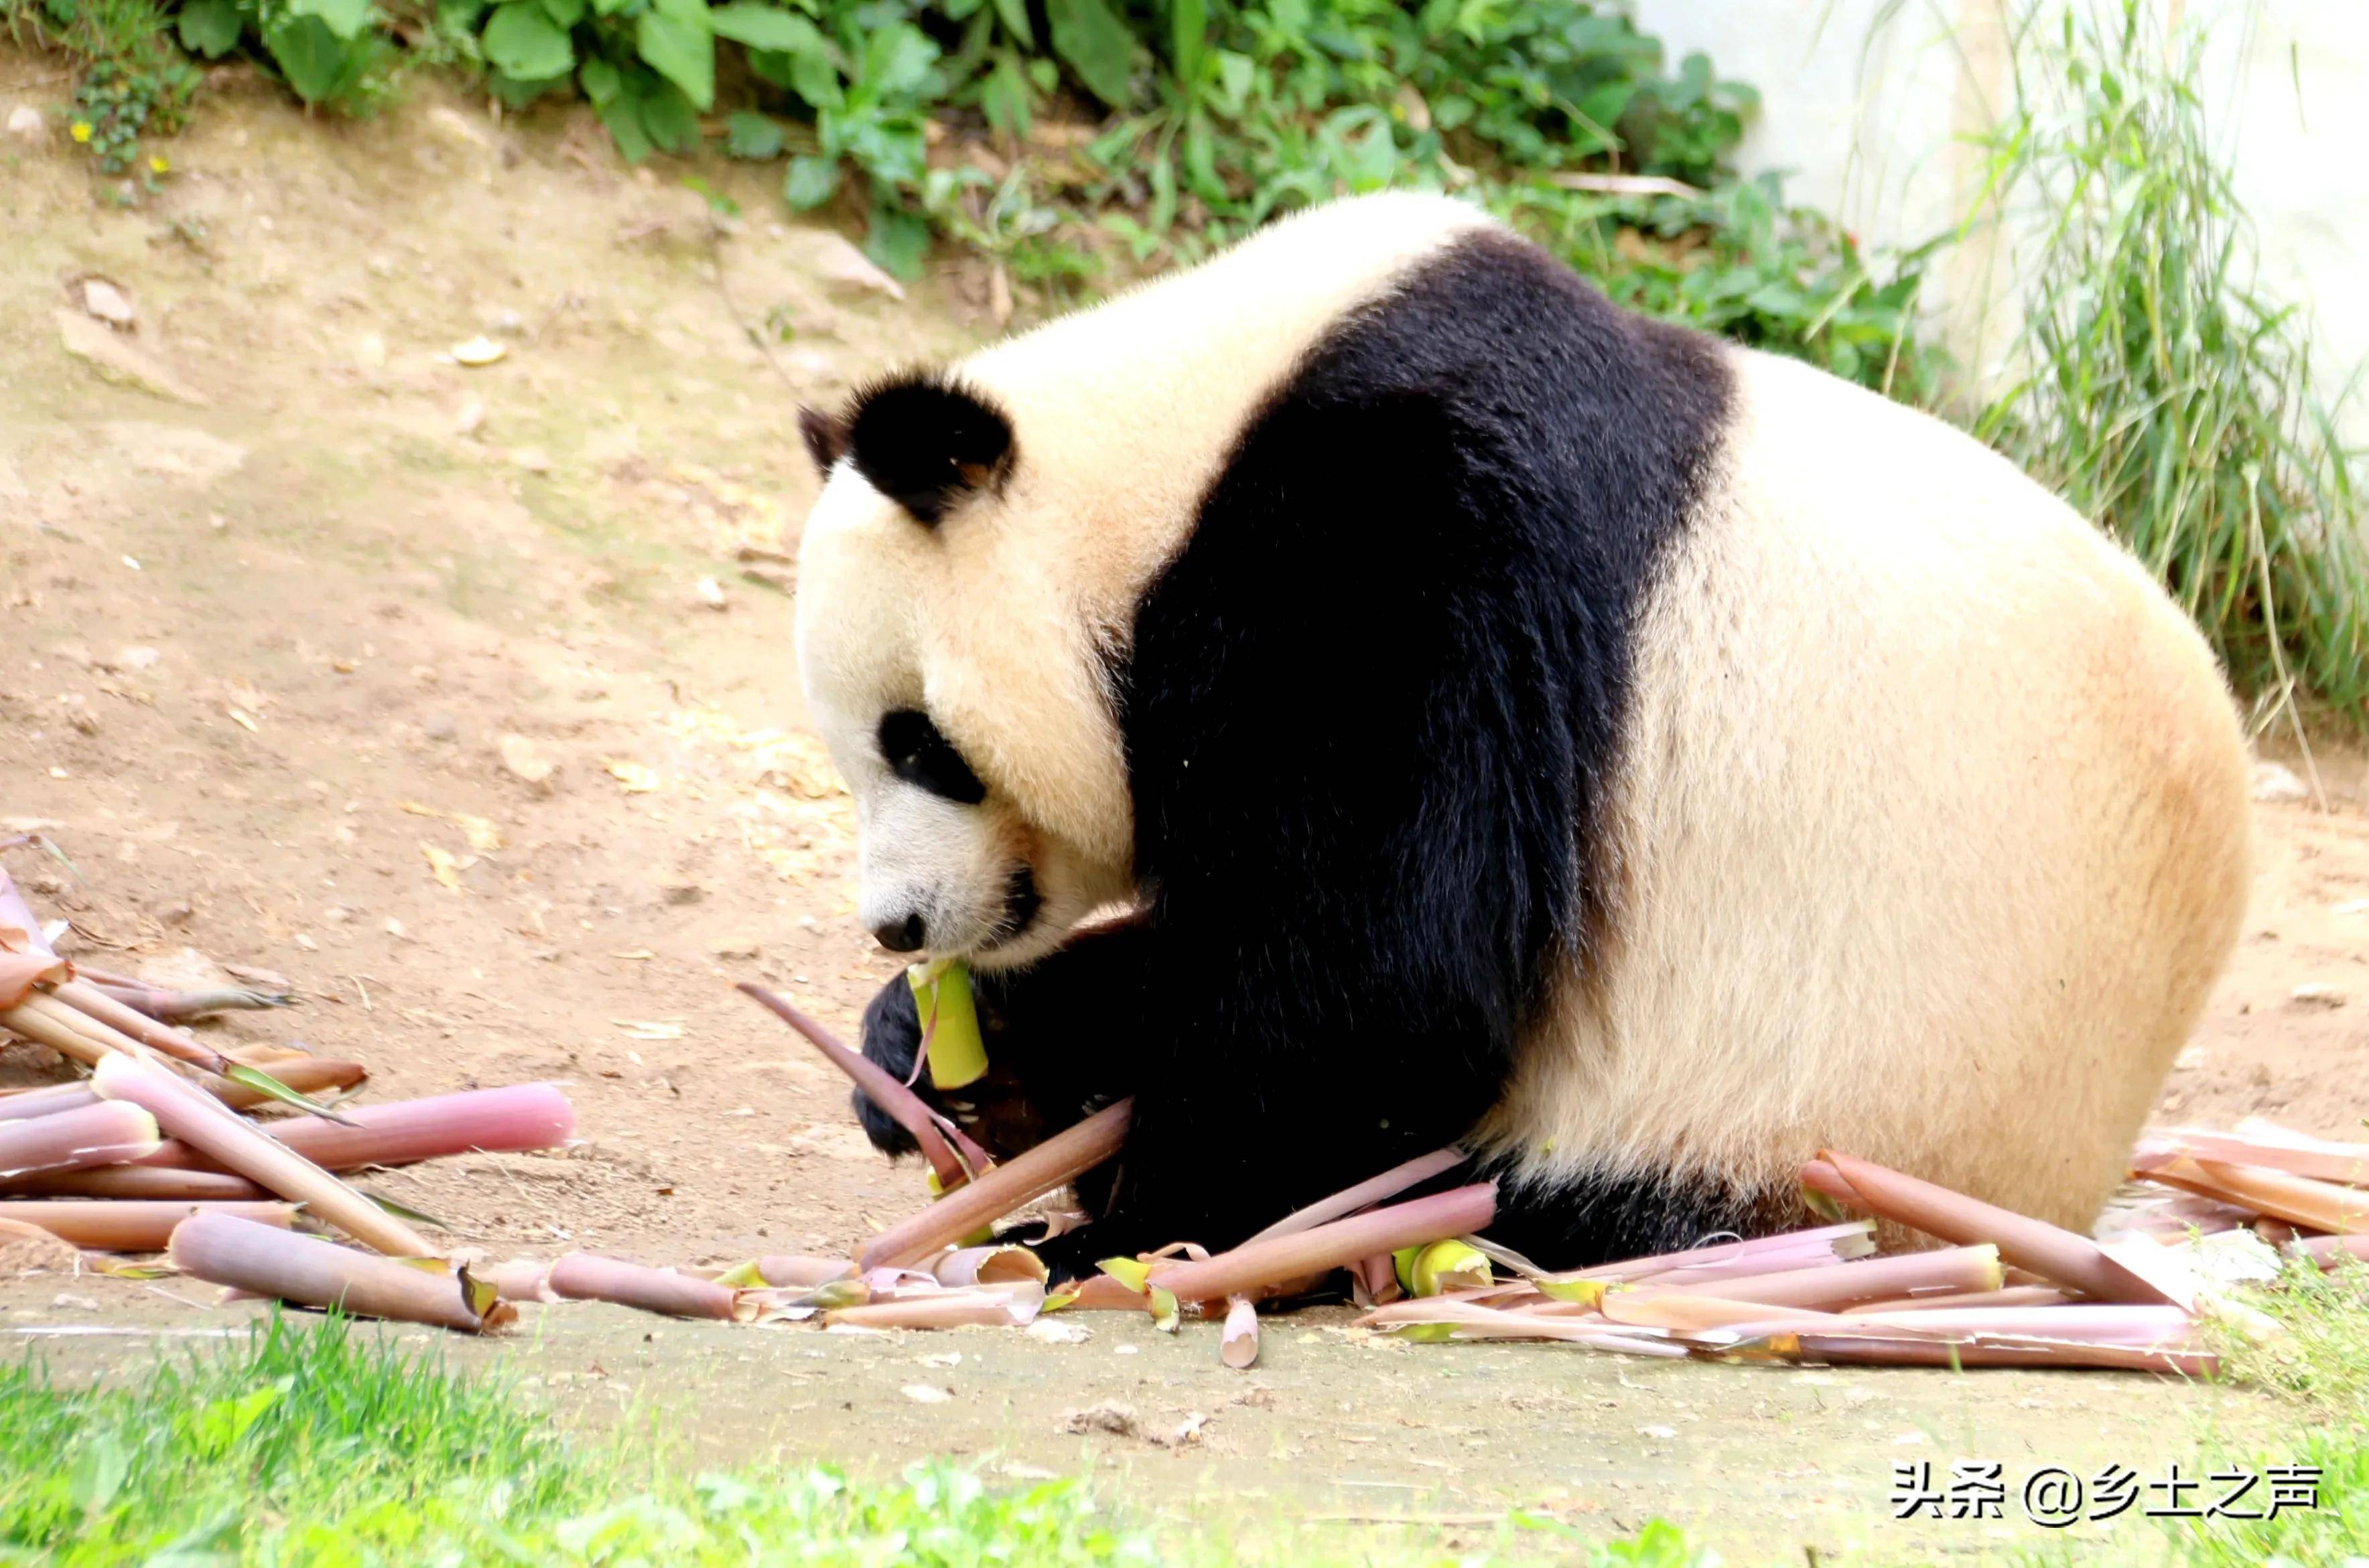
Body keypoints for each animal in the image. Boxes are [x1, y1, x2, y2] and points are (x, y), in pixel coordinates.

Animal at [786, 190, 2246, 1288]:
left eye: (920, 743)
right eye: (857, 757)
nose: (899, 926)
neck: (1170, 452)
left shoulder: (1405, 545)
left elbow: (1375, 964)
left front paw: (1141, 1226)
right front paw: (940, 1058)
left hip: (1821, 1107)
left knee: (1549, 1197)